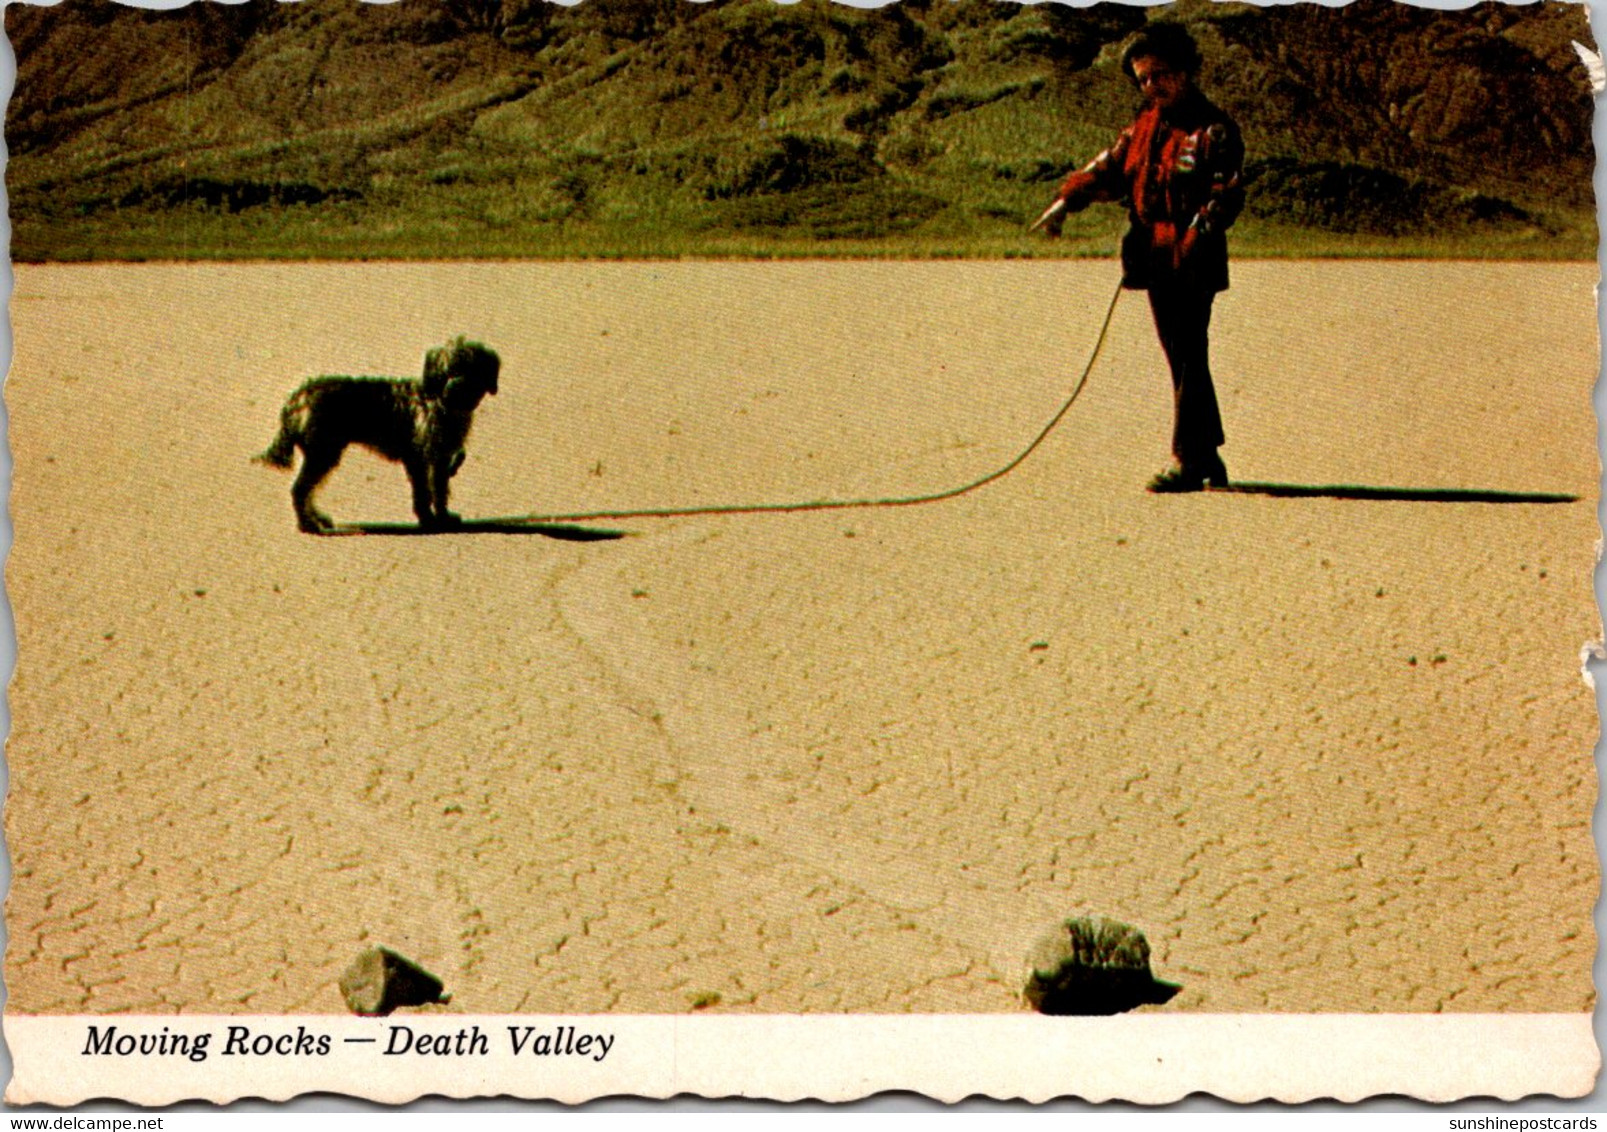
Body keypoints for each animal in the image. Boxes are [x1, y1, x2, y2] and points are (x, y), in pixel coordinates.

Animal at [257, 336, 498, 533]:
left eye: (472, 369)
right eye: (446, 371)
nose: (457, 387)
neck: (440, 403)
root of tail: (297, 398)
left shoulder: (431, 459)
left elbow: (432, 491)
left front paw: (435, 518)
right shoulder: (424, 458)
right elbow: (430, 492)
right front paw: (434, 520)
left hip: (323, 453)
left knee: (307, 490)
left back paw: (317, 519)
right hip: (323, 452)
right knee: (300, 489)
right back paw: (308, 524)